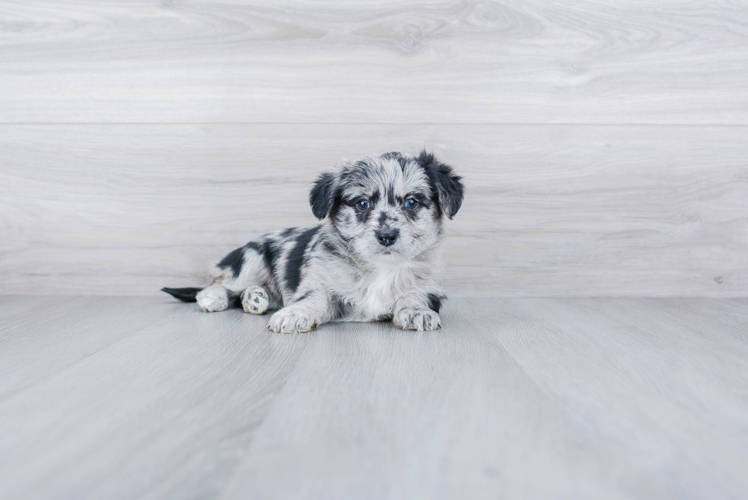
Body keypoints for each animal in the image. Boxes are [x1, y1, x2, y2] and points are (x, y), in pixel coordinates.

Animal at [164, 150, 462, 334]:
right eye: (362, 203)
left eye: (411, 202)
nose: (387, 236)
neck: (381, 268)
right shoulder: (320, 284)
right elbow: (311, 299)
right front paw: (295, 315)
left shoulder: (430, 288)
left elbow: (415, 296)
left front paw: (416, 311)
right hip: (250, 259)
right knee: (219, 284)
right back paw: (214, 298)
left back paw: (256, 298)